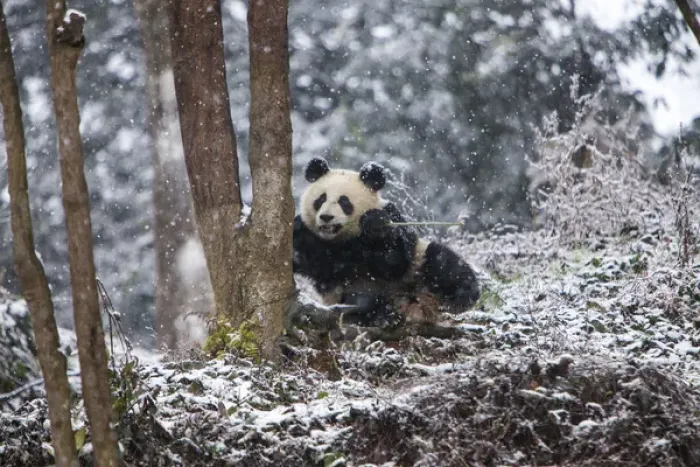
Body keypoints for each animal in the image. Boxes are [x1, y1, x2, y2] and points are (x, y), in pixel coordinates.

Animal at [293, 156, 480, 328]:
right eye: (320, 200)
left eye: (344, 202)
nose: (326, 217)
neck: (342, 240)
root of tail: (414, 307)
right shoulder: (310, 238)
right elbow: (306, 256)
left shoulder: (391, 215)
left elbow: (394, 260)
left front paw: (373, 224)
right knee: (360, 303)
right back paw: (383, 316)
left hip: (418, 266)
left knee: (443, 262)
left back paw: (461, 297)